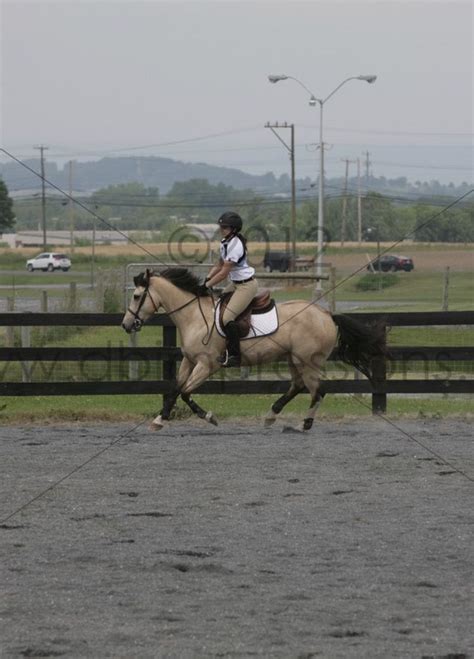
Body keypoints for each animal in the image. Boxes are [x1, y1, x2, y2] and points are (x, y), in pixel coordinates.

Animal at [120, 268, 386, 434]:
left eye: (137, 296)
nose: (126, 325)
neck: (194, 316)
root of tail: (326, 314)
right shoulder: (189, 360)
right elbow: (174, 389)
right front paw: (159, 420)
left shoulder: (207, 365)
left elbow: (185, 392)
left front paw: (209, 417)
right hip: (293, 359)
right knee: (298, 386)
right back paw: (271, 415)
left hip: (308, 361)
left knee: (317, 391)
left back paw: (303, 425)